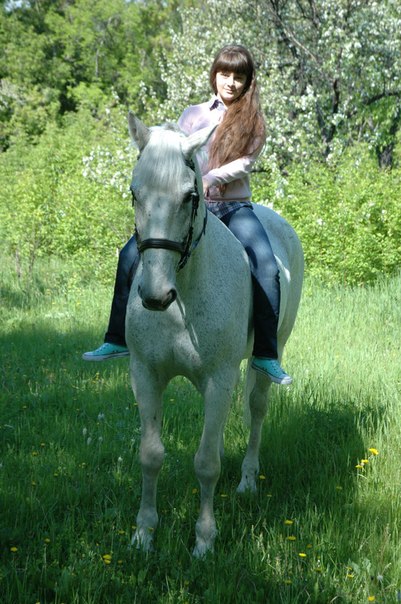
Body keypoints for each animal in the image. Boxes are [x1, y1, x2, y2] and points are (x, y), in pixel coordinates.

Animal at [126, 112, 304, 558]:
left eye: (190, 196)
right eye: (134, 193)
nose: (155, 295)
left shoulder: (220, 379)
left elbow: (206, 463)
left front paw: (204, 541)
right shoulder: (145, 375)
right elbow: (150, 455)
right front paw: (144, 534)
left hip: (266, 358)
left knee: (256, 411)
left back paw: (246, 483)